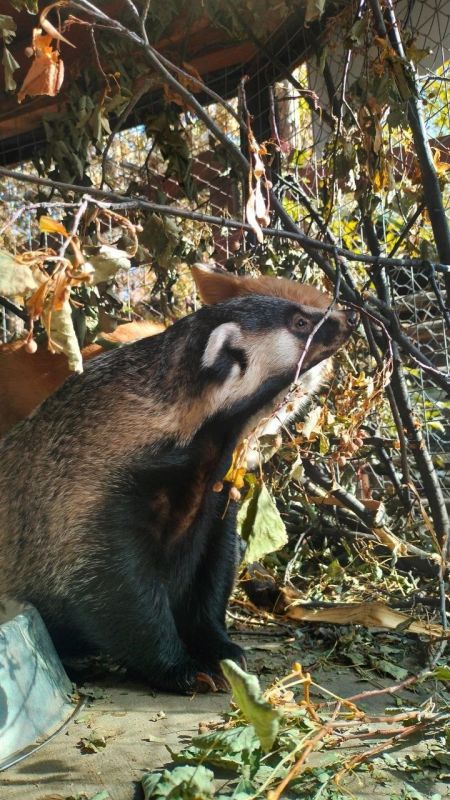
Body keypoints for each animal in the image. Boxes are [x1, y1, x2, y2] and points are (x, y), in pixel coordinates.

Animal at [0, 290, 357, 693]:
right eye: (300, 322)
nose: (350, 316)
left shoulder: (215, 500)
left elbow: (212, 574)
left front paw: (221, 650)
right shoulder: (93, 501)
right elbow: (118, 592)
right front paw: (185, 667)